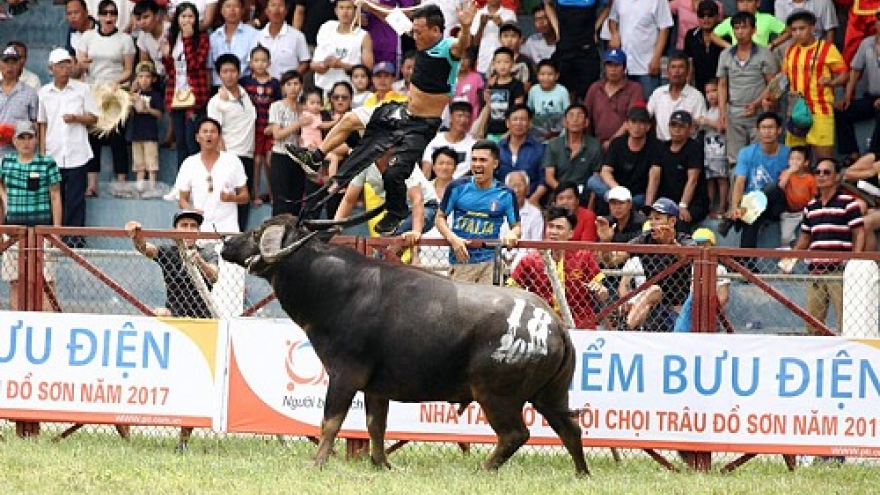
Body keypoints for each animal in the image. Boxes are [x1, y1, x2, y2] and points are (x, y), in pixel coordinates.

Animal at [221, 207, 589, 475]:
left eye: (257, 232)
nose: (225, 241)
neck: (336, 288)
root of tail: (554, 325)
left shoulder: (345, 375)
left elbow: (330, 422)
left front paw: (317, 463)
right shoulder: (376, 388)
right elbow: (376, 425)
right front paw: (381, 463)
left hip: (496, 395)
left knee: (515, 434)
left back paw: (484, 469)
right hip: (551, 396)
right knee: (571, 428)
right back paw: (581, 473)